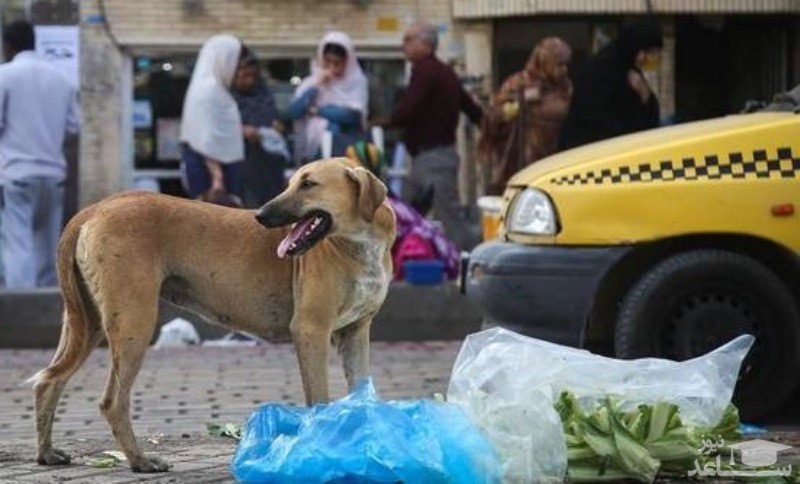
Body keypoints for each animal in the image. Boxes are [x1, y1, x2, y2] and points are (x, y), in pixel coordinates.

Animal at [26, 157, 396, 470]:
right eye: (292, 182)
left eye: (308, 184)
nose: (261, 215)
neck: (359, 244)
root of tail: (93, 209)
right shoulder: (310, 330)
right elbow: (318, 397)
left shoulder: (355, 333)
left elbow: (364, 394)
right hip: (133, 323)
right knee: (112, 402)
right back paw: (140, 460)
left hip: (85, 322)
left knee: (50, 382)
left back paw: (47, 453)